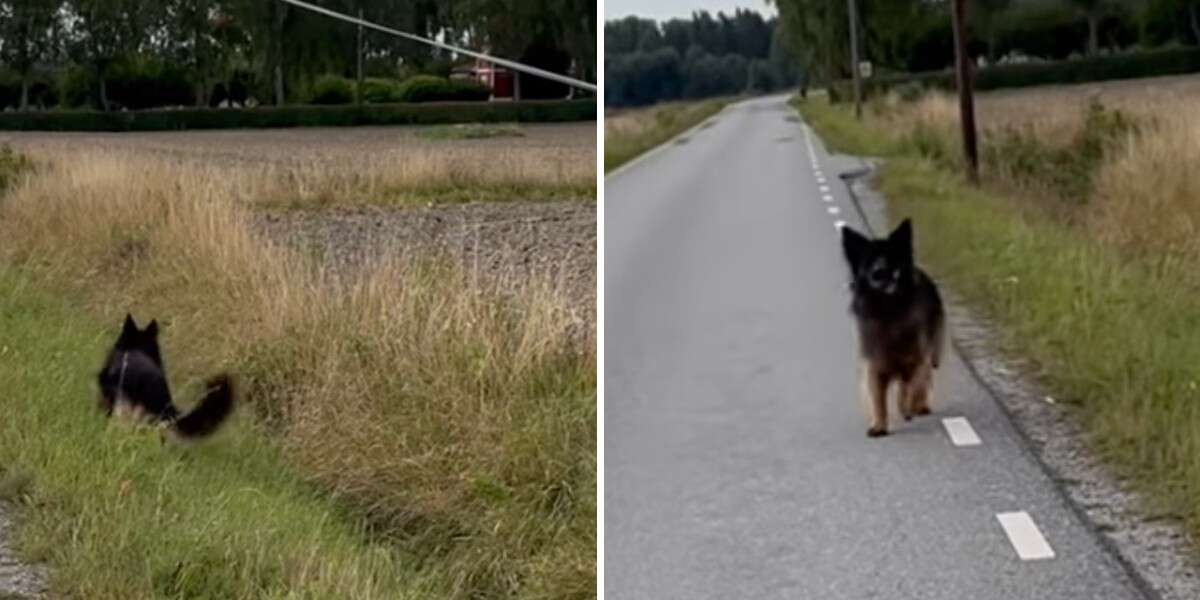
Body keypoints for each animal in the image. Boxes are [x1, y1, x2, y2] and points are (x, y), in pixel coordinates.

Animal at [840, 219, 940, 436]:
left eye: (896, 268)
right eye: (871, 265)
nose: (878, 270)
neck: (889, 310)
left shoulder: (915, 359)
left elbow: (910, 386)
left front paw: (907, 406)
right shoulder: (875, 364)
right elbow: (878, 398)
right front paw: (879, 425)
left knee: (921, 380)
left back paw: (918, 406)